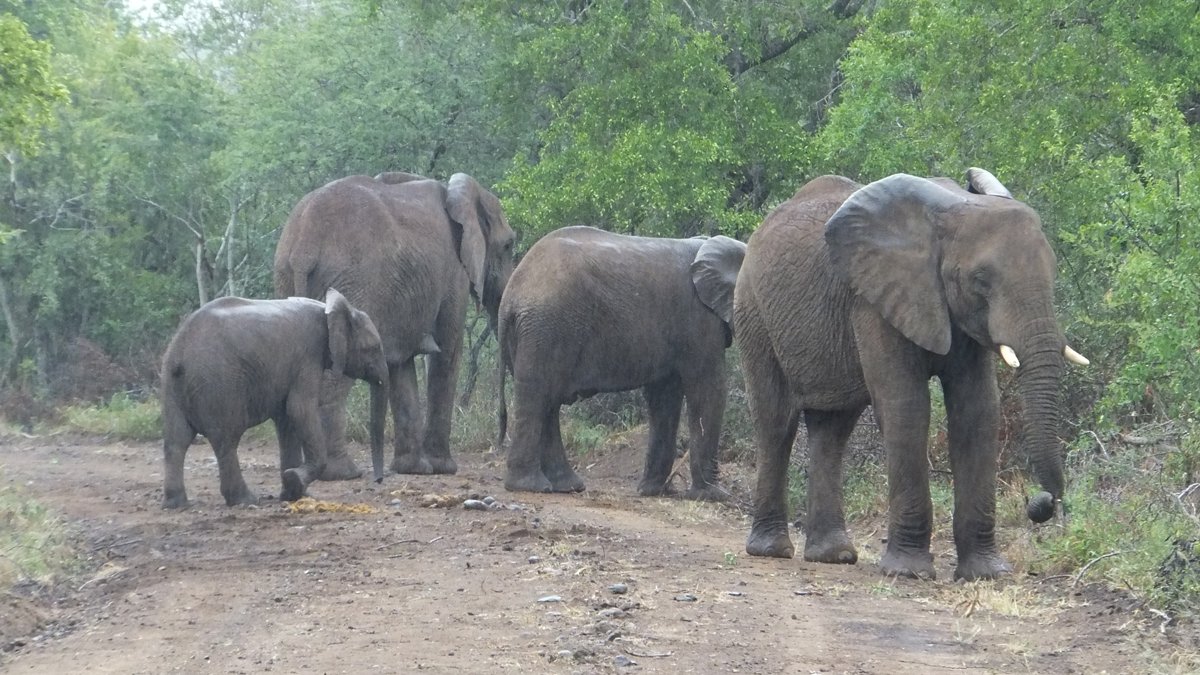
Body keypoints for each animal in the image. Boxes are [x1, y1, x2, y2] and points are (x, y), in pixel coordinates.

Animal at [160, 288, 388, 509]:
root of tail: (180, 352)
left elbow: (286, 419)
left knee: (176, 441)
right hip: (218, 384)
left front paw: (295, 493)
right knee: (226, 439)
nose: (378, 481)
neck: (328, 308)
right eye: (374, 348)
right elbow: (300, 410)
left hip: (172, 385)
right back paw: (245, 500)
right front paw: (294, 481)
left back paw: (177, 504)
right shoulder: (308, 356)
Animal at [274, 171, 516, 478]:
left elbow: (400, 364)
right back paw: (341, 472)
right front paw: (443, 468)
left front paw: (414, 469)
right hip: (353, 281)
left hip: (285, 275)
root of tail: (304, 245)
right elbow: (447, 352)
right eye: (508, 245)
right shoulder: (453, 271)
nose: (500, 441)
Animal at [497, 226, 746, 499]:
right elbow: (708, 389)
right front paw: (715, 495)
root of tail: (511, 296)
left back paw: (567, 486)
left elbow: (664, 396)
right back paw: (531, 486)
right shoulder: (699, 317)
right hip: (547, 326)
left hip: (537, 332)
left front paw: (652, 491)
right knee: (538, 396)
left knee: (547, 402)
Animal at [733, 169, 1089, 580]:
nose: (1042, 504)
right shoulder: (873, 300)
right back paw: (771, 550)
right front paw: (909, 572)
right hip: (753, 310)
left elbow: (979, 412)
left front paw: (987, 573)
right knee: (776, 422)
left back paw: (834, 556)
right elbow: (907, 407)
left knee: (832, 429)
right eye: (981, 280)